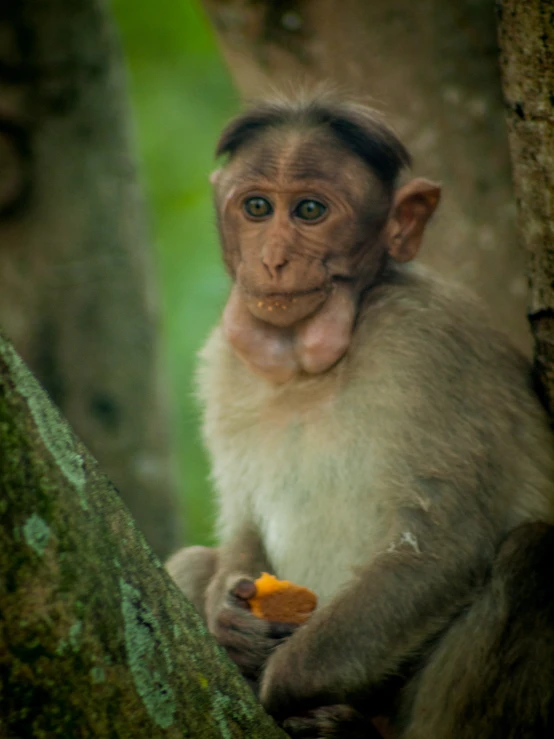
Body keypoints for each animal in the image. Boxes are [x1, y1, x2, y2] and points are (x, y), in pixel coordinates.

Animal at [166, 98, 552, 739]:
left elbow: (439, 544)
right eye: (256, 207)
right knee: (192, 560)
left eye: (310, 211)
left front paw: (277, 684)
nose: (272, 259)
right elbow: (241, 525)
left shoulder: (425, 343)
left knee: (532, 558)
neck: (307, 371)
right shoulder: (222, 365)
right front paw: (232, 627)